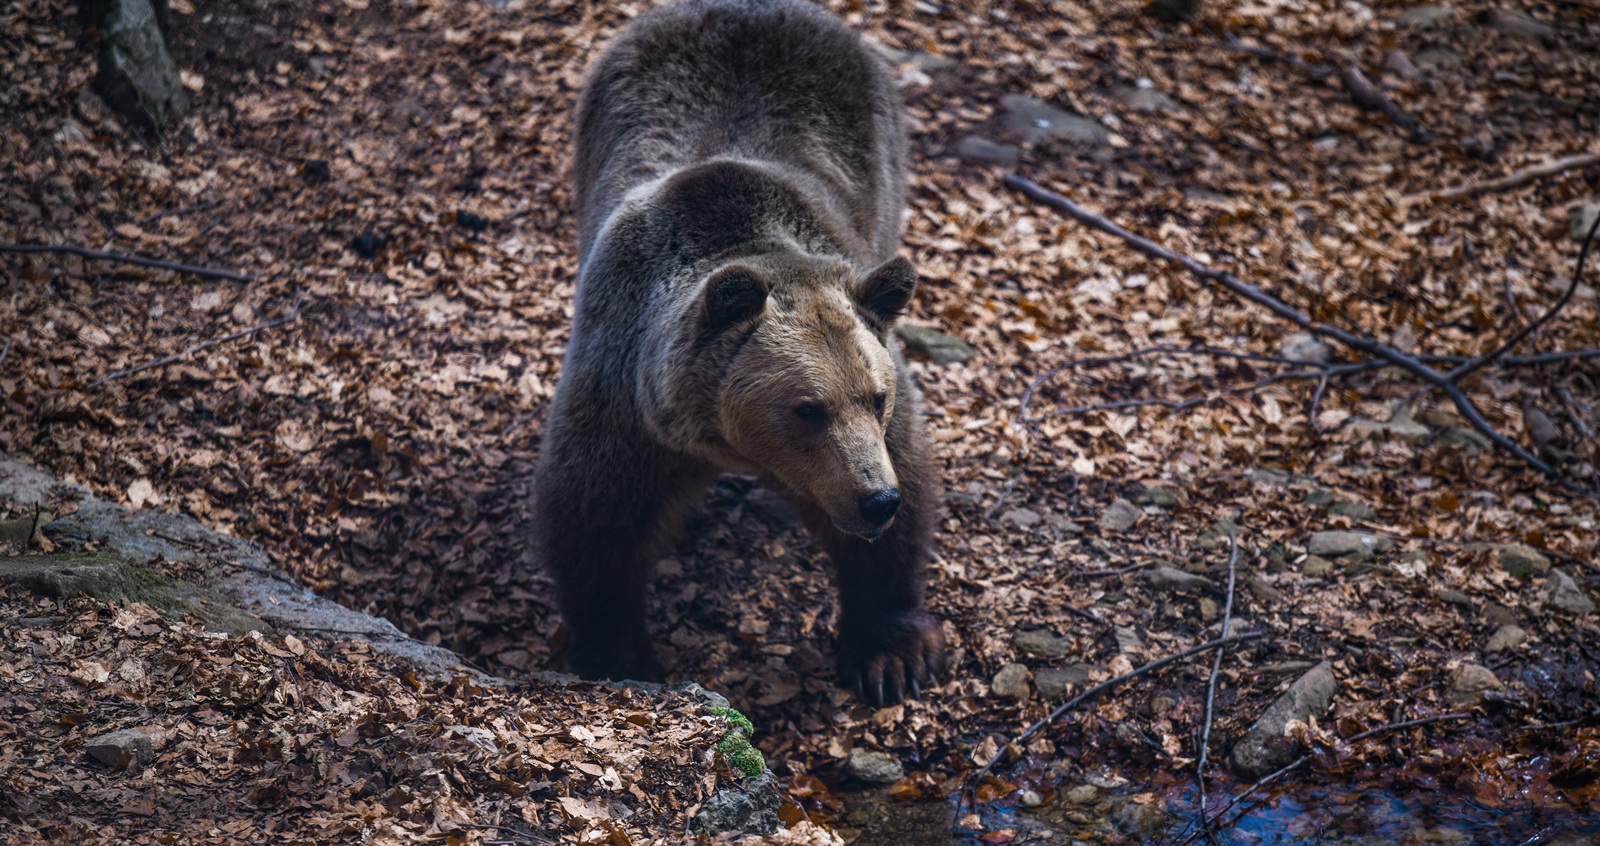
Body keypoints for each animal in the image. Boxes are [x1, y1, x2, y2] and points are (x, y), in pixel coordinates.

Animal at [531, 0, 940, 703]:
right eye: (808, 408)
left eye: (876, 397)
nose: (874, 499)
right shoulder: (625, 398)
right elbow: (597, 519)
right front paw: (616, 652)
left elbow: (903, 497)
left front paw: (891, 656)